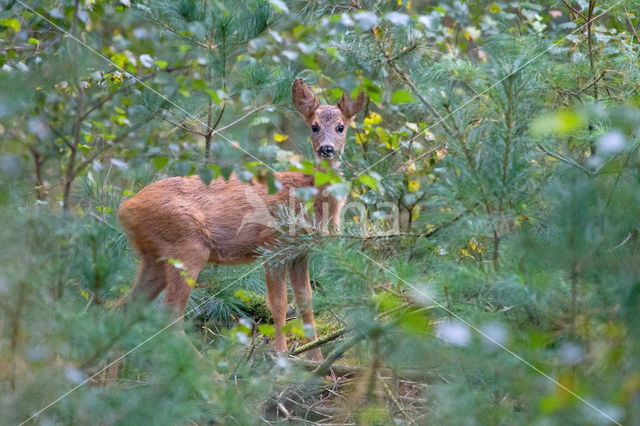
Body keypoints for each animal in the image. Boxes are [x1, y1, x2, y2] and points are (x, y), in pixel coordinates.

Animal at [117, 78, 362, 358]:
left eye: (341, 127)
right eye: (314, 126)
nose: (326, 149)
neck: (309, 197)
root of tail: (125, 208)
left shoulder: (300, 253)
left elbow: (306, 304)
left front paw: (315, 356)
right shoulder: (272, 245)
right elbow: (278, 303)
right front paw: (281, 355)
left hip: (154, 258)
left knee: (122, 307)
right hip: (187, 246)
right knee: (169, 314)